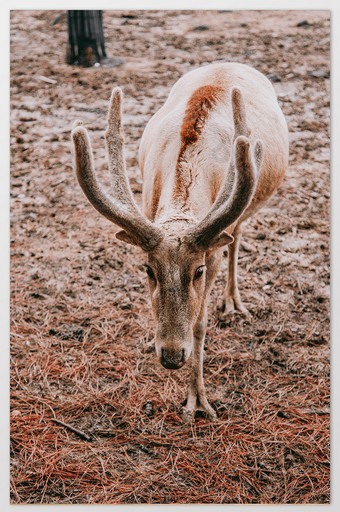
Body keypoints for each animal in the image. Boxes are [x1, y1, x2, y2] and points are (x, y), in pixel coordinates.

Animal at [71, 62, 290, 422]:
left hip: (241, 214)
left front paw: (197, 401)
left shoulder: (211, 251)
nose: (172, 356)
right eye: (148, 270)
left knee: (237, 236)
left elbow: (199, 324)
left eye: (197, 271)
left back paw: (233, 301)